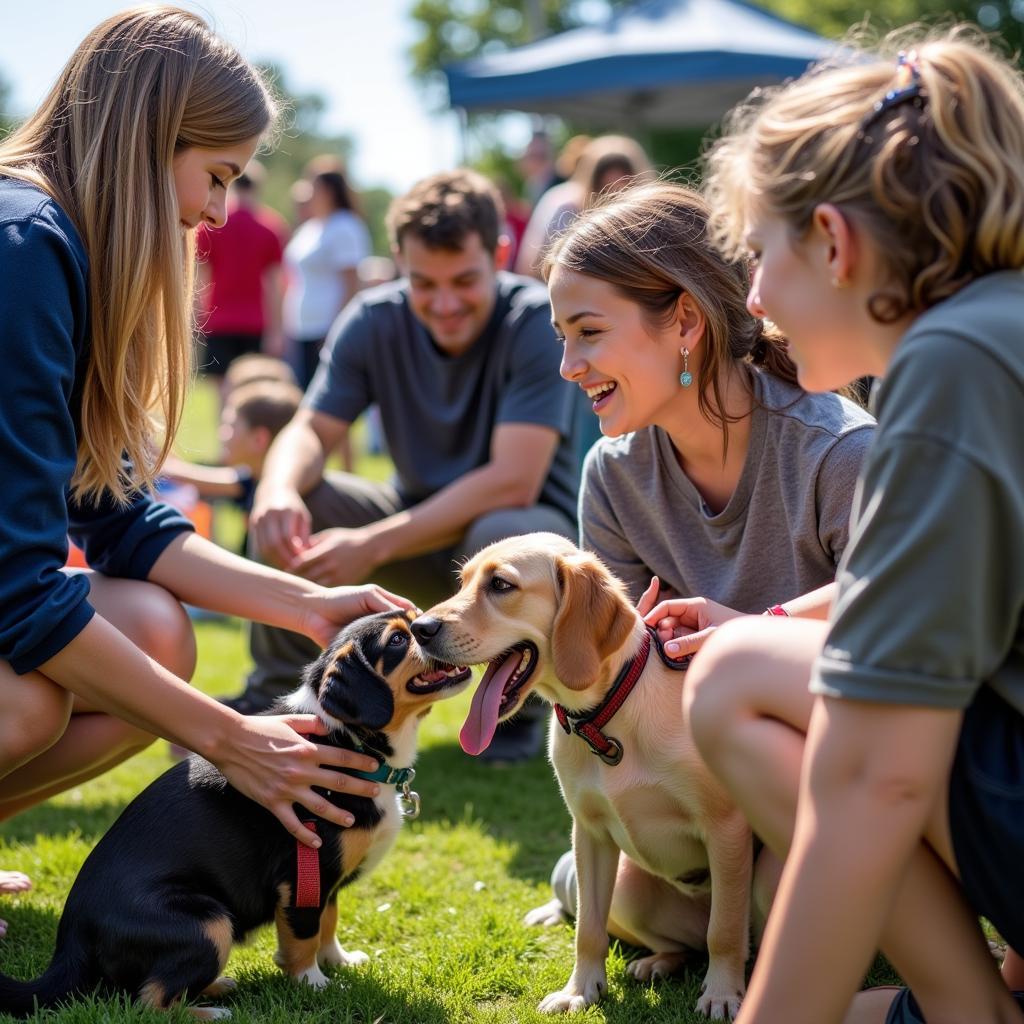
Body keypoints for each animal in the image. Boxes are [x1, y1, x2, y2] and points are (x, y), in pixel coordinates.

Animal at [0, 610, 468, 1019]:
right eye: (398, 640)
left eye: (415, 620)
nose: (429, 626)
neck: (351, 739)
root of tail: (70, 939)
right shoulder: (303, 872)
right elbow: (305, 933)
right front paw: (315, 983)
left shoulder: (326, 877)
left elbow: (329, 920)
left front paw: (340, 960)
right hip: (207, 923)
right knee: (147, 1001)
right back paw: (211, 1011)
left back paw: (214, 987)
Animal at [407, 536, 753, 1015]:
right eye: (462, 582)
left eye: (500, 584)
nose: (418, 627)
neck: (606, 717)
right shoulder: (590, 833)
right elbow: (588, 928)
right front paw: (580, 990)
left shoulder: (727, 830)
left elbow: (724, 929)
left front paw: (721, 993)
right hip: (626, 885)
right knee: (683, 945)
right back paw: (655, 963)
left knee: (711, 935)